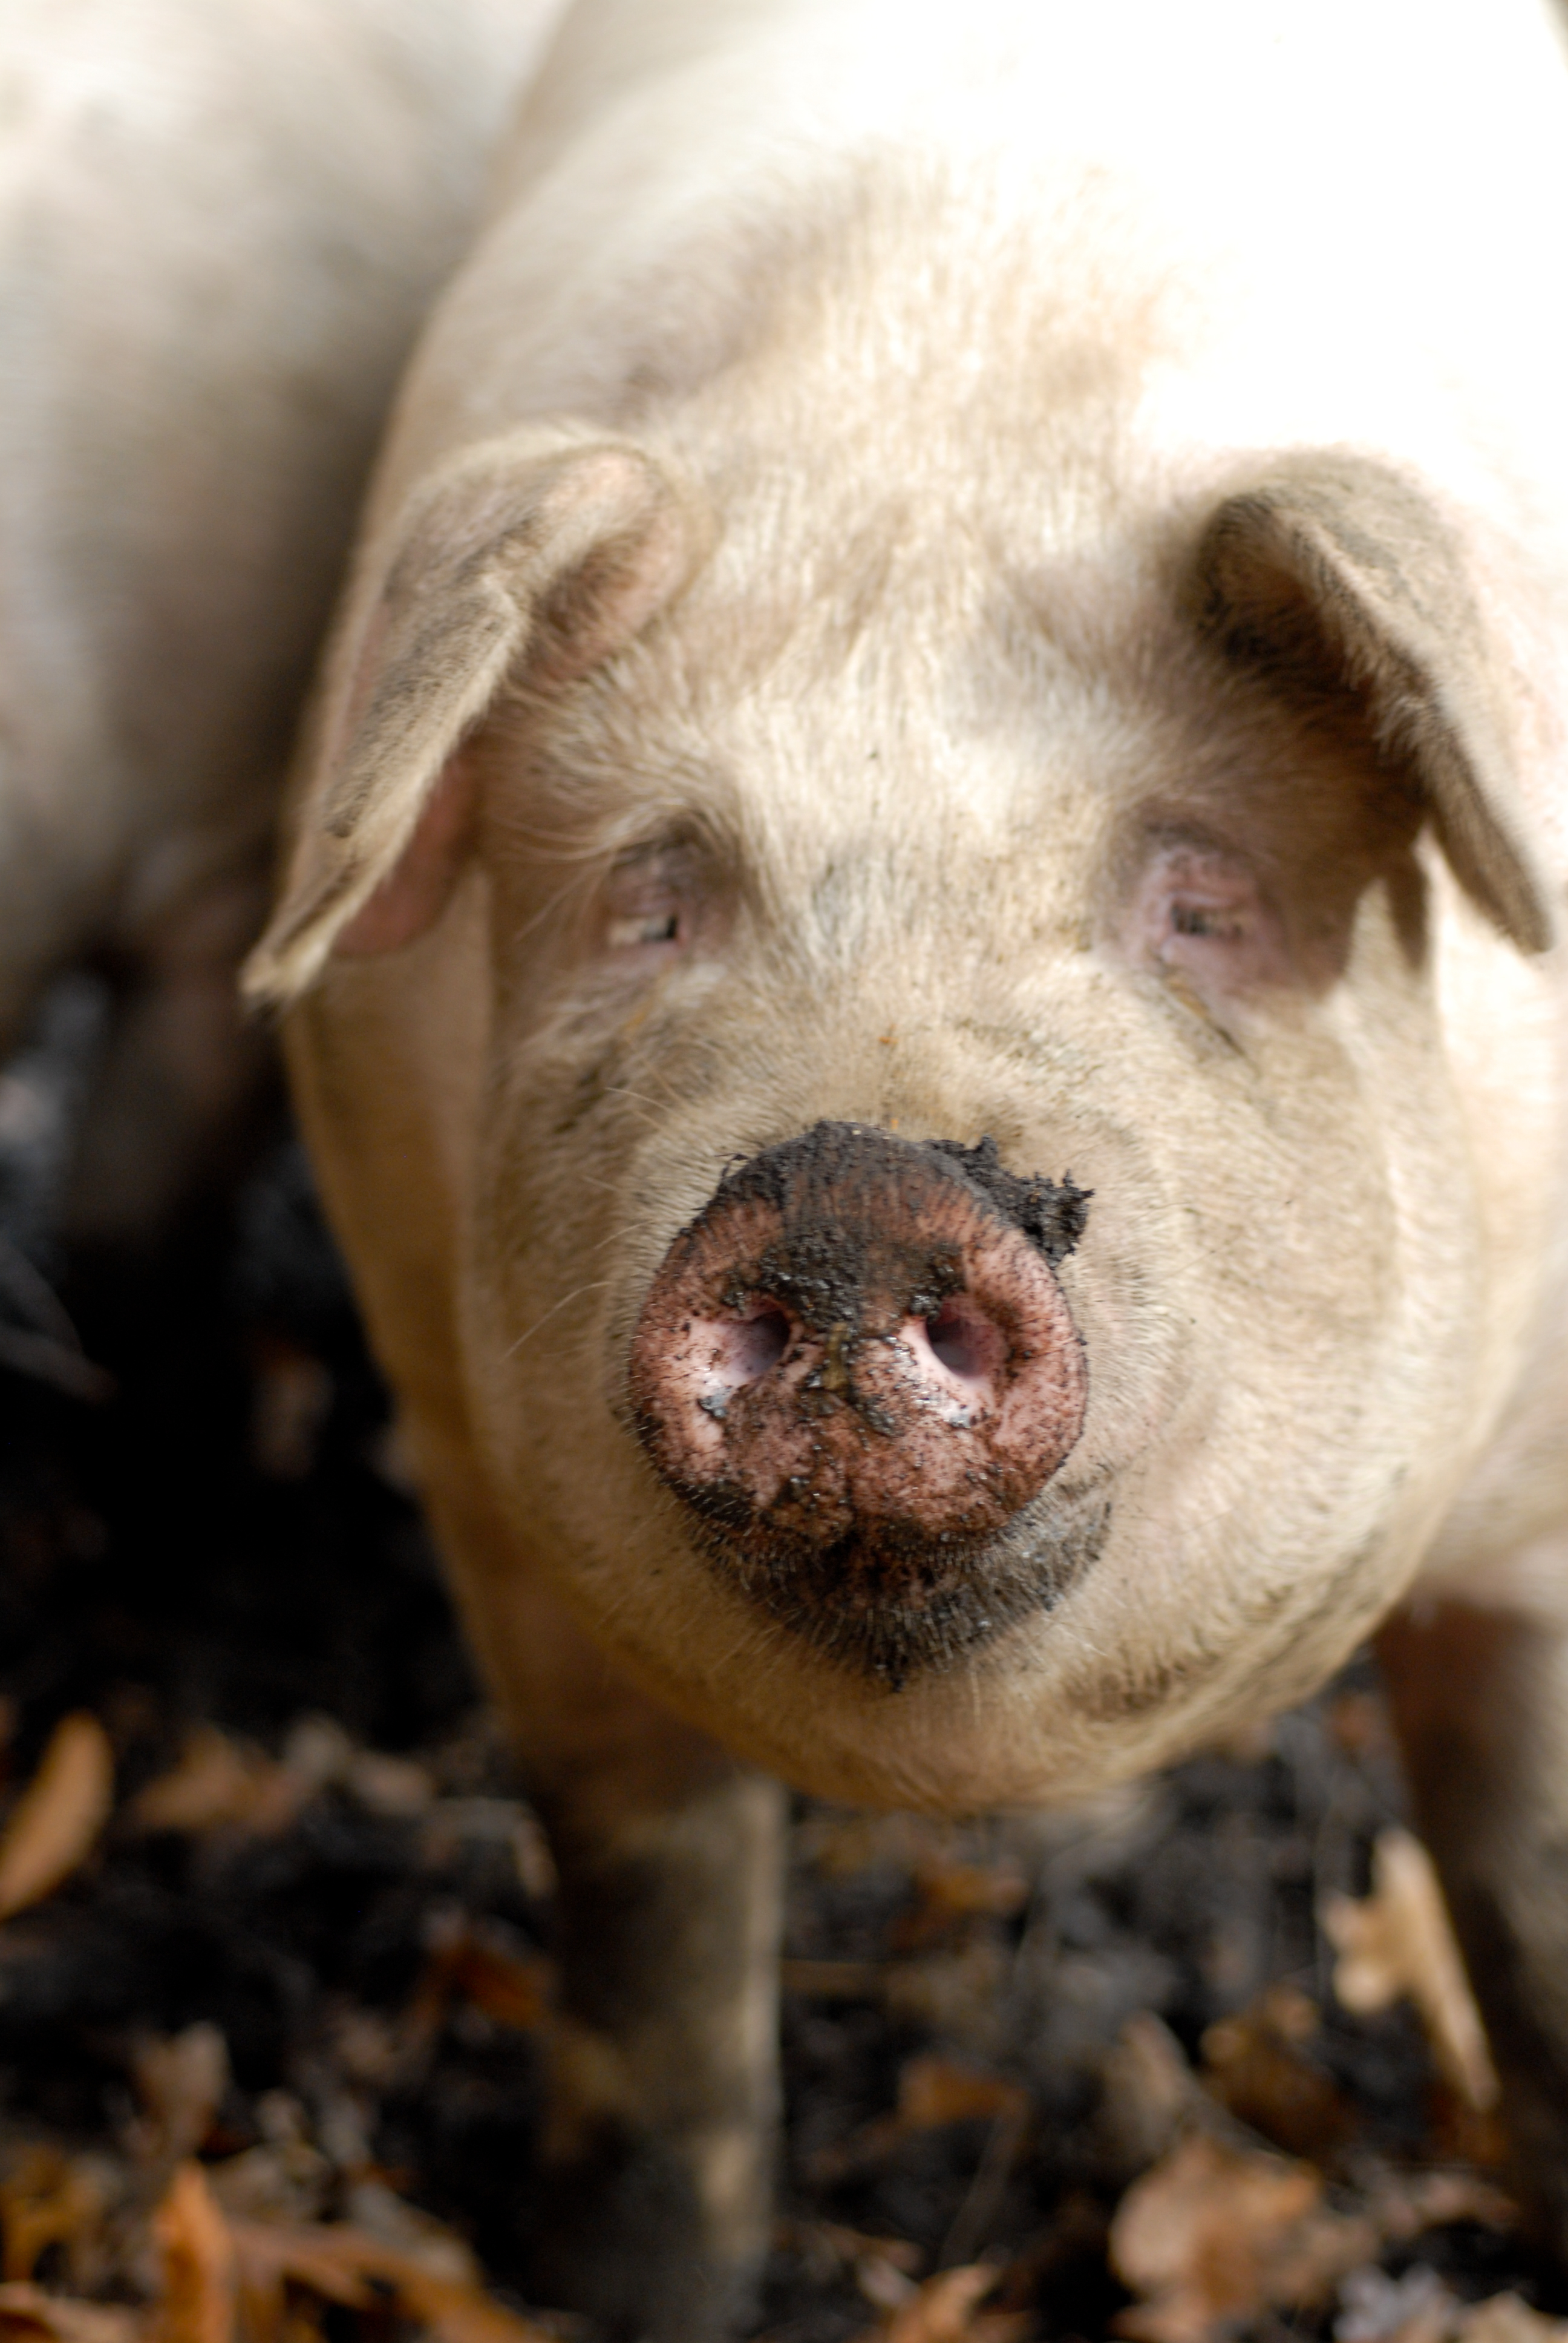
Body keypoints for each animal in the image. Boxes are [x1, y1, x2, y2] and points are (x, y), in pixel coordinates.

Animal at [245, 0, 1568, 2331]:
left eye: (1201, 901)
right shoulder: (468, 1452)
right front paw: (618, 2289)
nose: (856, 1184)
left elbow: (1529, 1853)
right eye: (651, 902)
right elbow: (652, 1904)